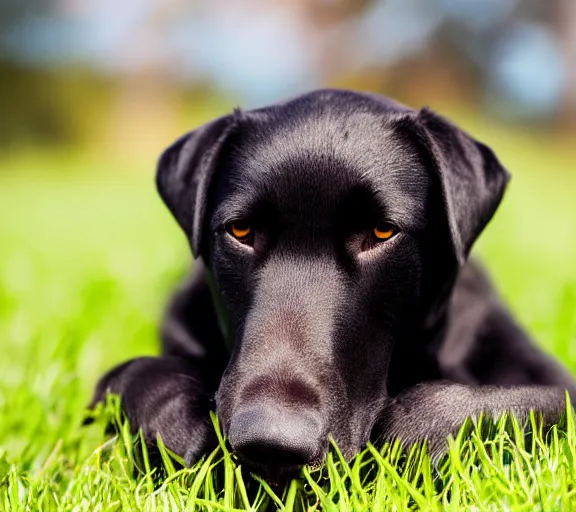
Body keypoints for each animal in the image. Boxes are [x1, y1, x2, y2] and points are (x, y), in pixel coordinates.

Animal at [89, 88, 572, 476]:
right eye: (240, 231)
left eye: (381, 232)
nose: (272, 444)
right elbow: (136, 373)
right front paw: (184, 431)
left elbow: (514, 401)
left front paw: (411, 435)